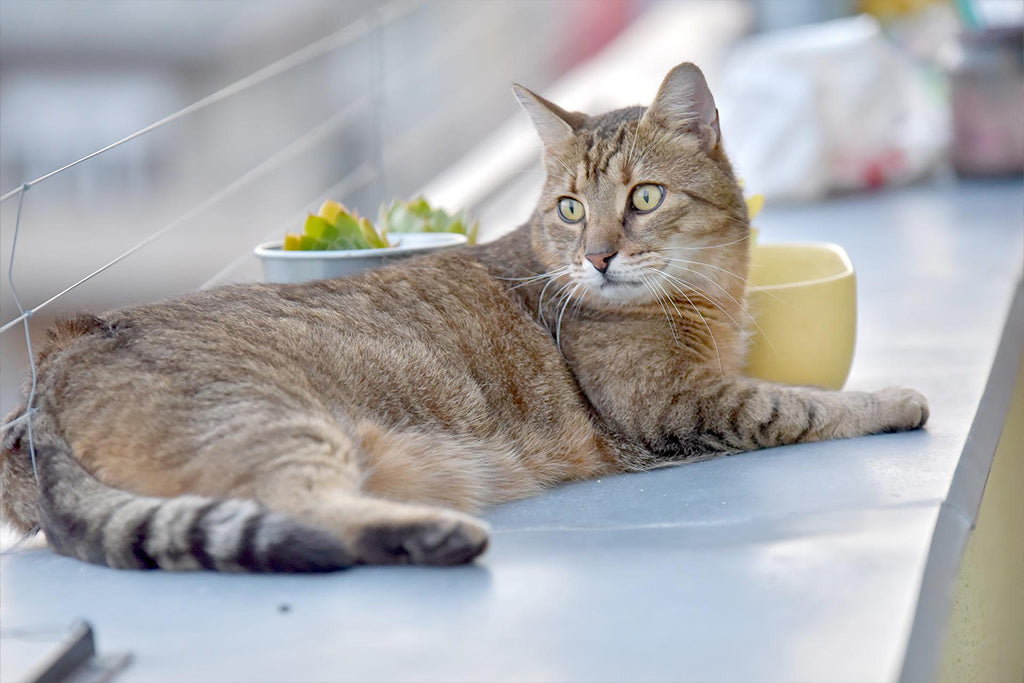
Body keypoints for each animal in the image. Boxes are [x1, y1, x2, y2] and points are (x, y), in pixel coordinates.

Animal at [0, 62, 929, 573]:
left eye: (644, 197)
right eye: (569, 209)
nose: (598, 256)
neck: (710, 295)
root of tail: (56, 366)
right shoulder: (679, 404)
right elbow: (800, 403)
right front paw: (895, 398)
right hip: (274, 423)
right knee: (304, 512)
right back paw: (440, 533)